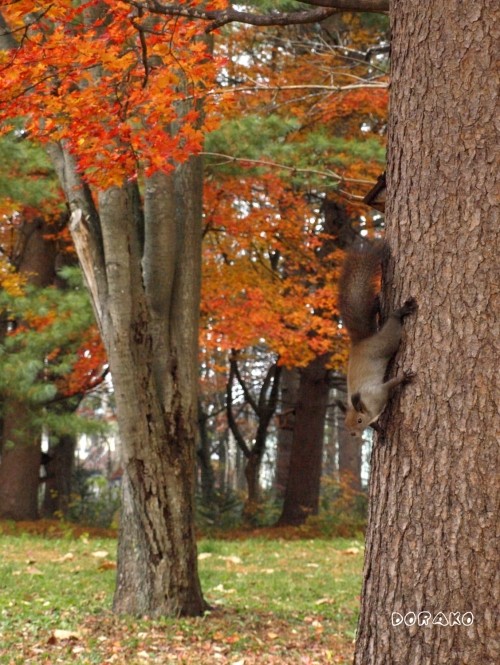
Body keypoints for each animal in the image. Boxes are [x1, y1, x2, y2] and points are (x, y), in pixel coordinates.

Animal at [338, 241, 416, 438]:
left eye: (359, 420)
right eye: (345, 424)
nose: (353, 434)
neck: (366, 406)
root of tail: (360, 343)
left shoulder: (378, 393)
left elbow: (391, 385)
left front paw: (403, 377)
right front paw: (380, 431)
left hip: (386, 342)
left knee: (393, 326)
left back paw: (400, 312)